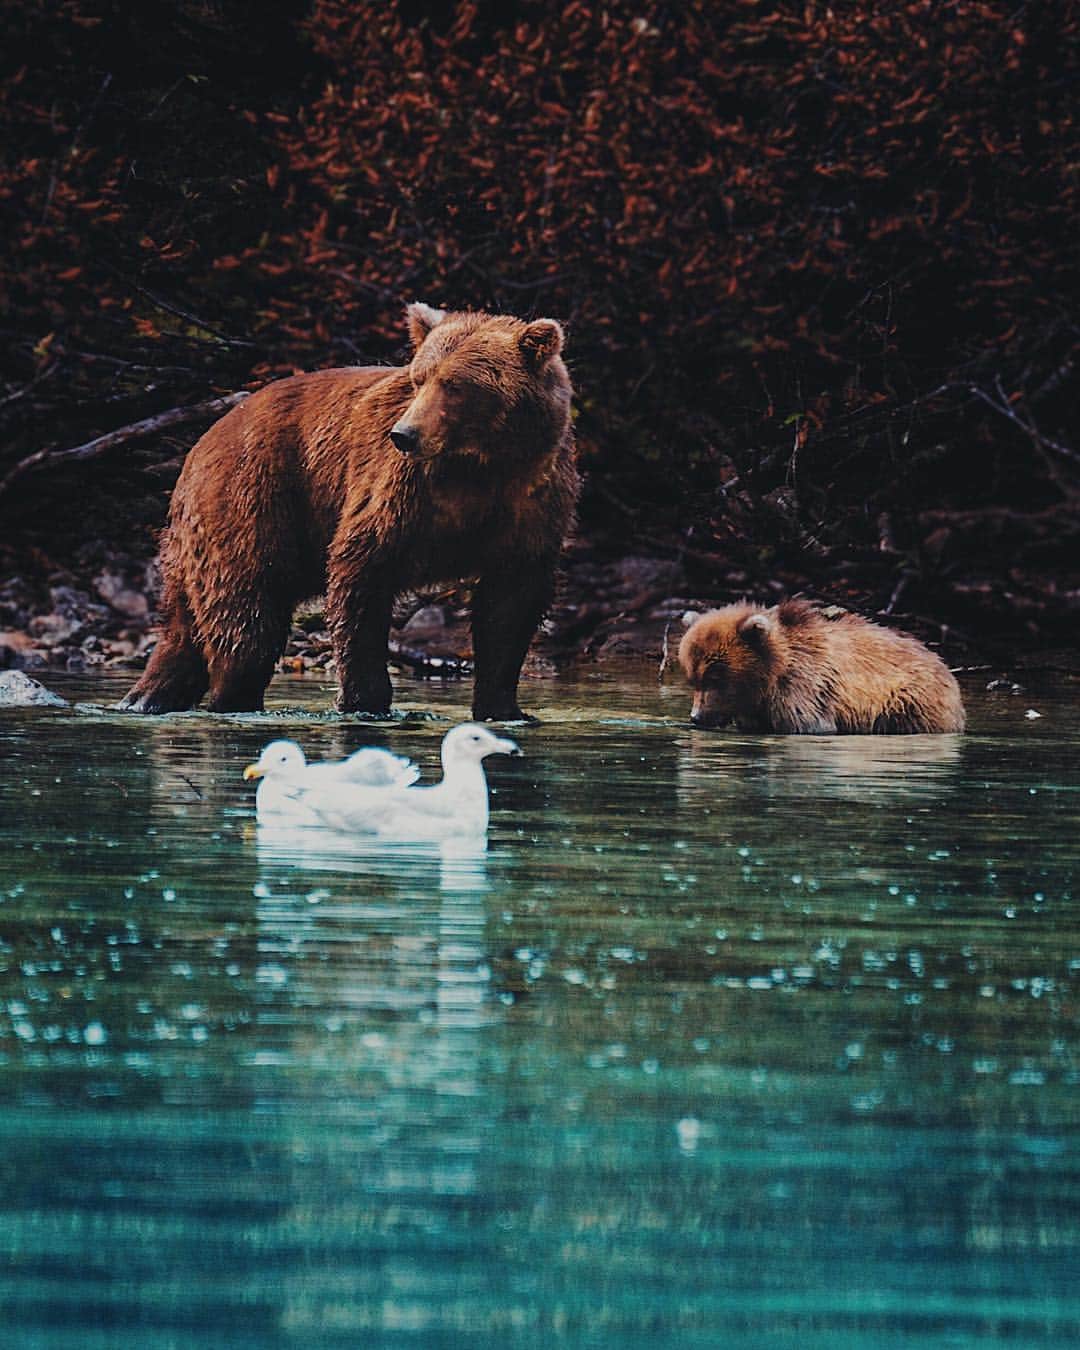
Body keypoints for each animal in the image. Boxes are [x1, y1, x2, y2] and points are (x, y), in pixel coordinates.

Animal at [120, 303, 579, 721]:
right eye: (419, 378)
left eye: (455, 384)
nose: (404, 435)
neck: (480, 466)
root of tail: (200, 443)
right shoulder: (400, 493)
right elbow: (362, 575)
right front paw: (365, 701)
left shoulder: (531, 501)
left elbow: (510, 604)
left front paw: (504, 708)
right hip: (251, 501)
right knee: (245, 618)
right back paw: (230, 699)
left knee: (184, 629)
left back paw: (147, 697)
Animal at [678, 599, 965, 734]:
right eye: (693, 679)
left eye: (715, 678)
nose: (696, 717)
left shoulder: (803, 689)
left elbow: (810, 725)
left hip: (909, 702)